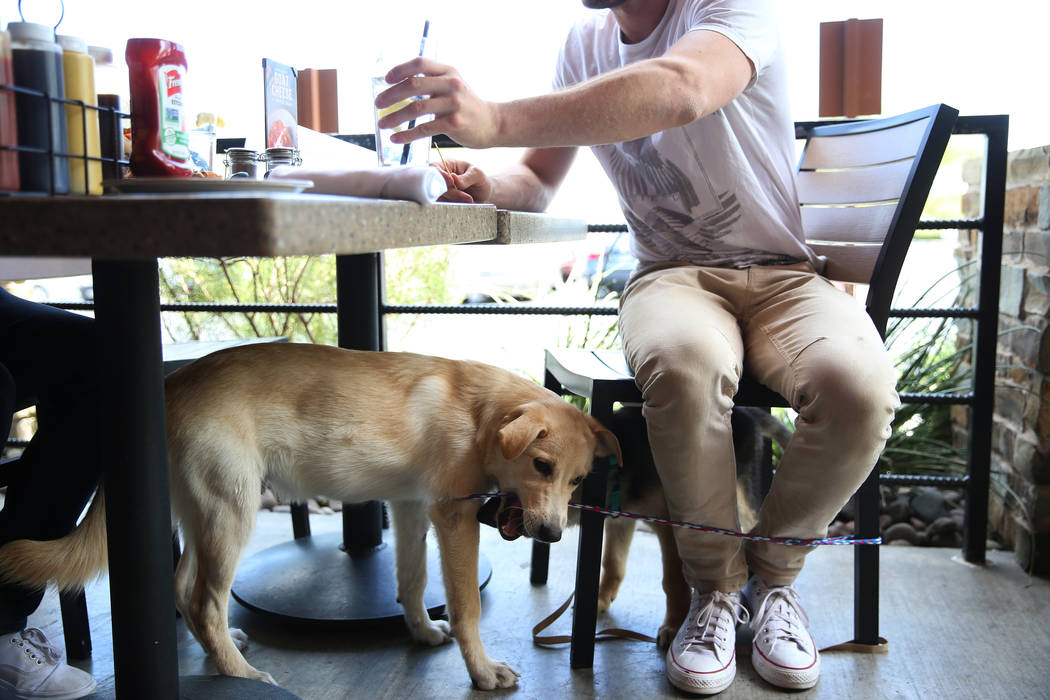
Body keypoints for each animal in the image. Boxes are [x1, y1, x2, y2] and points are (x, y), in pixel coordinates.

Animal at [0, 344, 617, 688]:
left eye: (578, 480)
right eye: (540, 465)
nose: (553, 534)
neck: (480, 413)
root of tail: (172, 383)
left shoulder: (409, 508)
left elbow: (412, 581)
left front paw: (420, 632)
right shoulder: (453, 519)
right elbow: (466, 608)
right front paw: (483, 672)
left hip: (206, 515)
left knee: (184, 591)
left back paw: (223, 652)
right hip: (233, 513)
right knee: (204, 601)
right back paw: (241, 677)